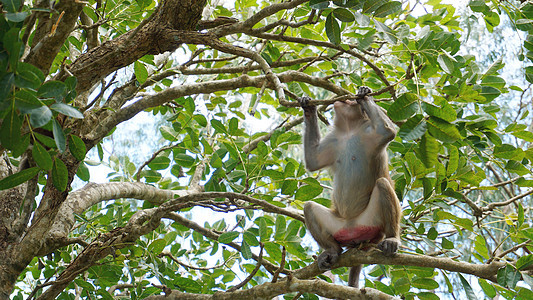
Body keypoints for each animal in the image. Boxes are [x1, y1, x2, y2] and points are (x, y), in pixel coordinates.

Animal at [298, 85, 402, 288]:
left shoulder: (371, 132)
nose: (346, 99)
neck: (349, 130)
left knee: (382, 184)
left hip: (372, 223)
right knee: (309, 207)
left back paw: (392, 238)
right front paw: (309, 108)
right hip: (340, 227)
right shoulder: (334, 140)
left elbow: (387, 131)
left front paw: (364, 96)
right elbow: (314, 161)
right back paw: (332, 250)